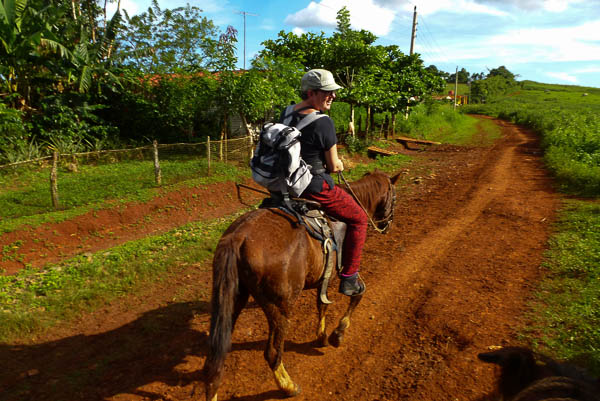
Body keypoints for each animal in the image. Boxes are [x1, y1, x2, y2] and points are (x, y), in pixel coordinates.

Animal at [204, 170, 400, 398]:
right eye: (394, 198)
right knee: (272, 352)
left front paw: (322, 336)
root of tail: (239, 237)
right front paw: (337, 334)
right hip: (280, 306)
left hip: (232, 301)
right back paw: (288, 386)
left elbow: (322, 305)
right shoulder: (347, 270)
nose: (387, 225)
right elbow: (357, 294)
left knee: (214, 361)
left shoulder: (323, 278)